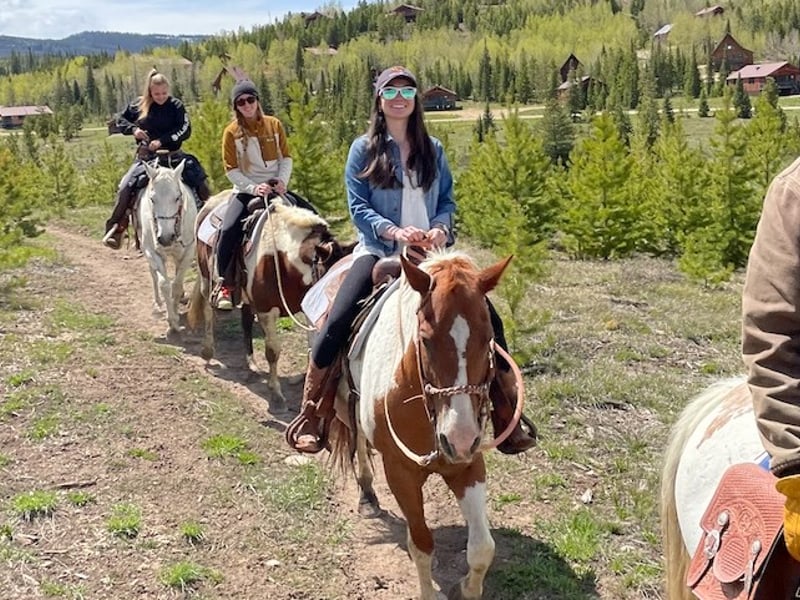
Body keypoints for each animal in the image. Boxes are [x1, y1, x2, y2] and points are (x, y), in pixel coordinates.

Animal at [135, 159, 197, 334]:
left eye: (177, 197)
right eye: (152, 199)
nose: (165, 238)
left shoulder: (188, 252)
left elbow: (176, 285)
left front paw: (175, 317)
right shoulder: (152, 252)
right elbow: (164, 284)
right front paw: (172, 320)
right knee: (153, 275)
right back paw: (157, 303)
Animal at [187, 190, 352, 408]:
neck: (281, 257)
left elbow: (311, 348)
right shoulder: (266, 310)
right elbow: (273, 351)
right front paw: (276, 394)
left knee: (246, 321)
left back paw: (252, 364)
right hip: (206, 277)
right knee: (208, 311)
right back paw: (208, 351)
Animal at [328, 249, 521, 600]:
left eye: (489, 337)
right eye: (426, 340)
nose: (459, 438)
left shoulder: (468, 465)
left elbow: (482, 547)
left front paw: (467, 588)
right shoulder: (400, 473)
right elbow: (421, 544)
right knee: (359, 439)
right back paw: (367, 495)